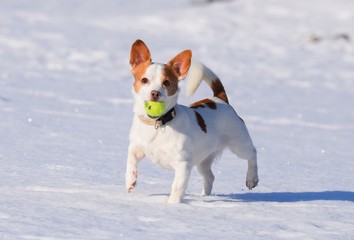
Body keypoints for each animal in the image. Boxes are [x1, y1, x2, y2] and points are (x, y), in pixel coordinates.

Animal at [126, 39, 258, 202]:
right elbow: (130, 160)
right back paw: (204, 197)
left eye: (166, 83)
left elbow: (177, 187)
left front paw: (172, 204)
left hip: (239, 144)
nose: (155, 93)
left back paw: (252, 178)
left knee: (252, 154)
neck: (158, 123)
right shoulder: (136, 148)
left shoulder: (183, 164)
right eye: (144, 80)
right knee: (210, 177)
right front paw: (130, 180)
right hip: (203, 160)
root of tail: (219, 99)